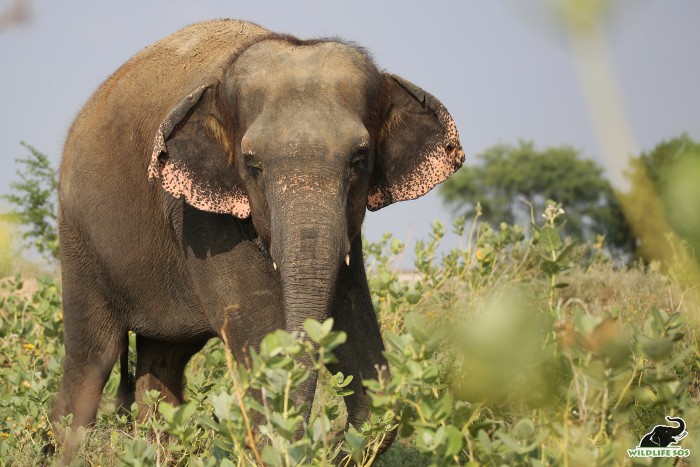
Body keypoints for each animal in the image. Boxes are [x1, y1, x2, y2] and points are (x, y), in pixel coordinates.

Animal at [52, 19, 462, 460]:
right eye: (252, 165)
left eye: (359, 159)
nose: (331, 438)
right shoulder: (199, 219)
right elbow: (262, 337)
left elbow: (356, 328)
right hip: (78, 239)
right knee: (93, 359)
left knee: (165, 359)